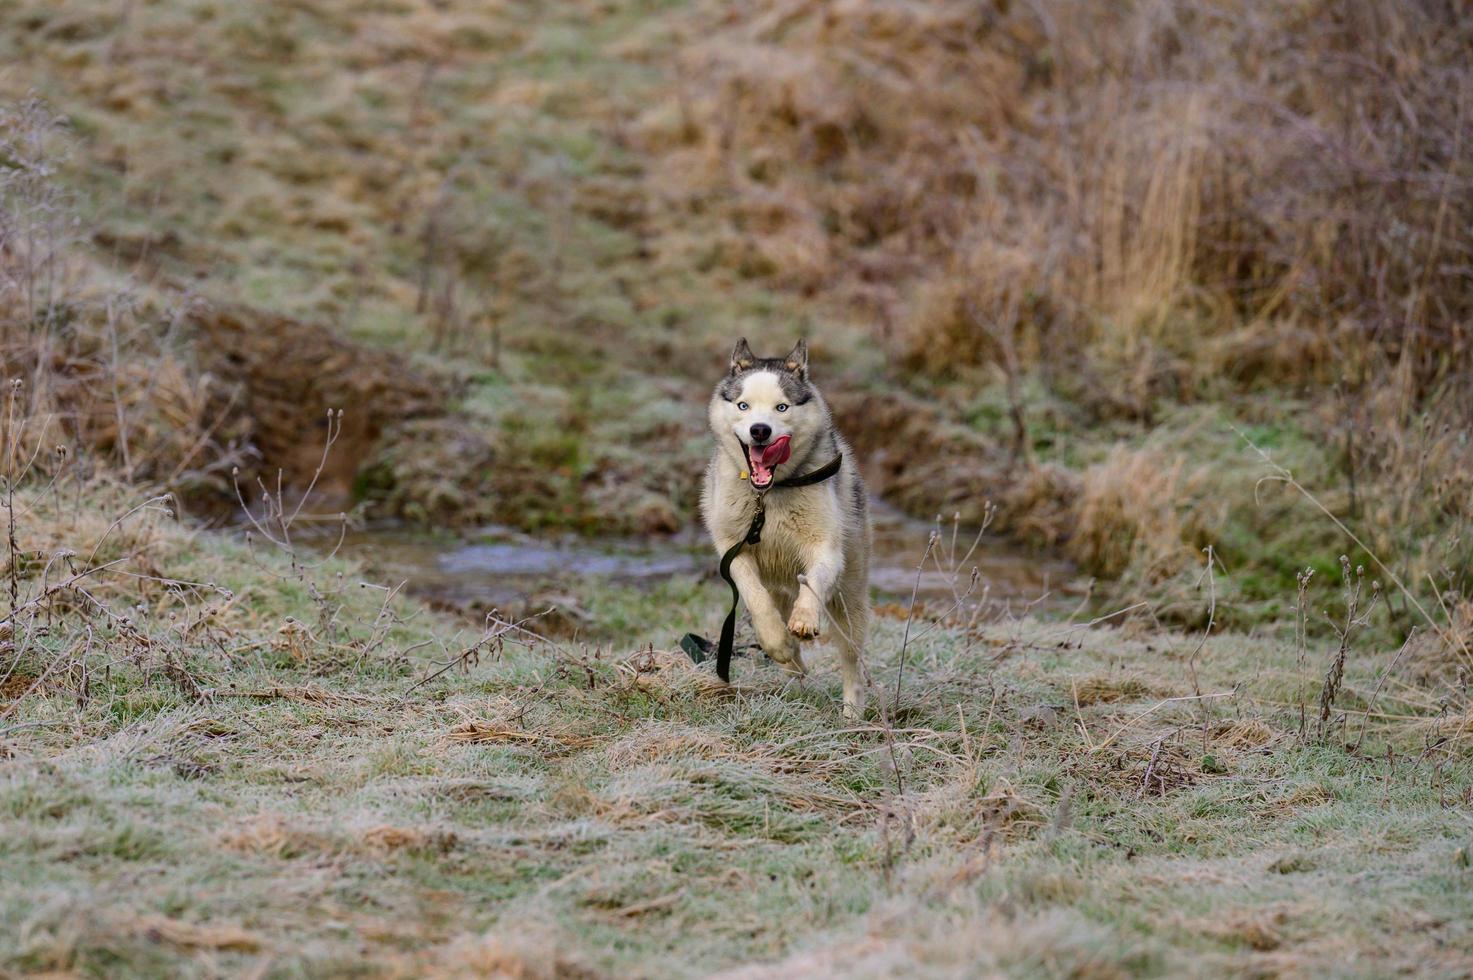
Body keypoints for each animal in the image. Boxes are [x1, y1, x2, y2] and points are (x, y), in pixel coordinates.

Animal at [704, 340, 872, 716]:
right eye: (743, 405)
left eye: (782, 407)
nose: (760, 430)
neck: (767, 496)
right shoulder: (732, 549)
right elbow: (755, 597)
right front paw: (779, 644)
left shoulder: (826, 548)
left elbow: (814, 579)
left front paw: (805, 619)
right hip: (779, 587)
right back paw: (790, 660)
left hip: (849, 595)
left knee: (851, 656)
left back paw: (853, 710)